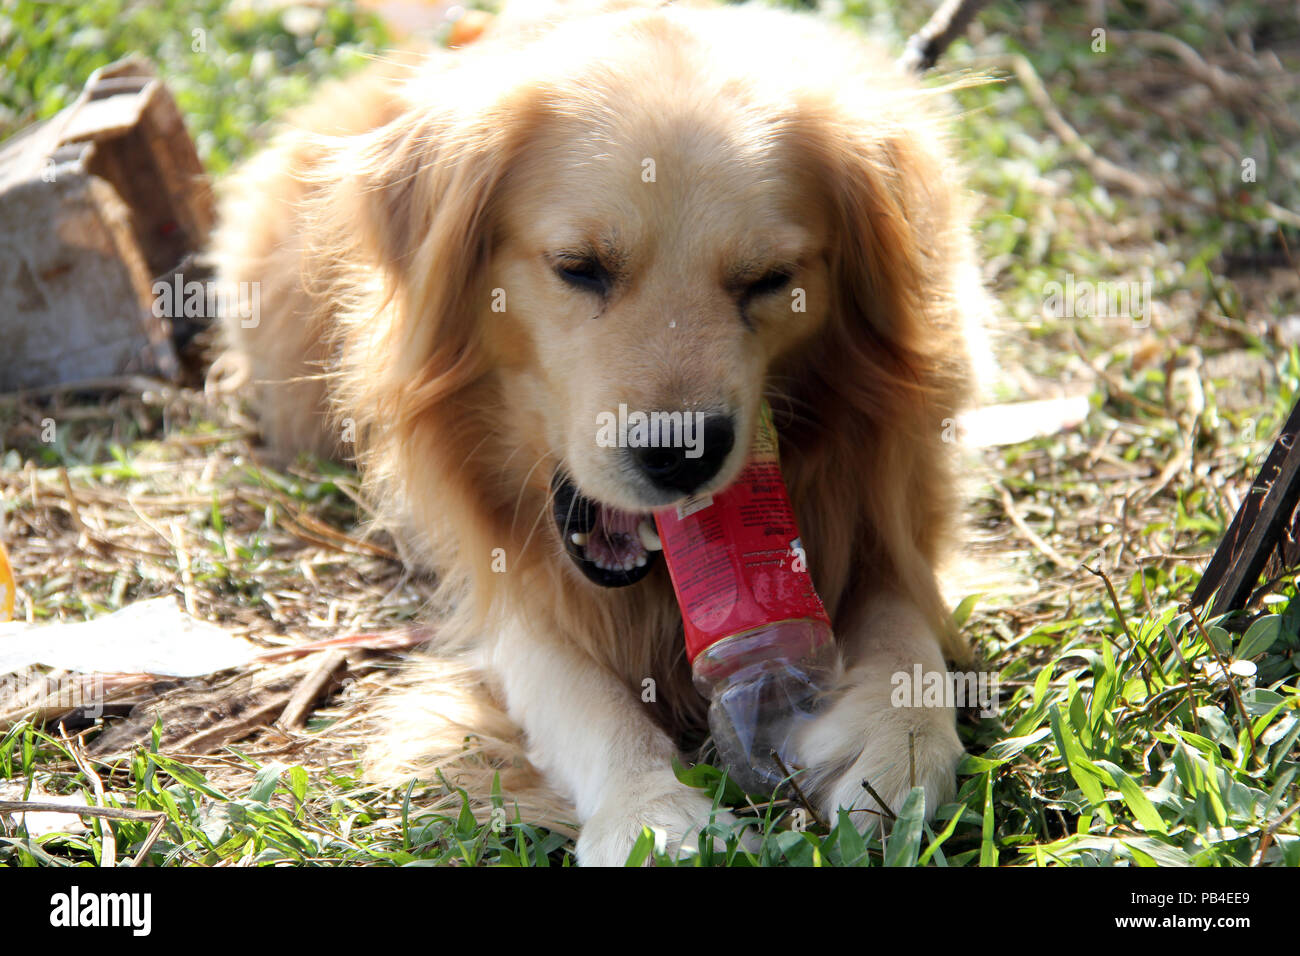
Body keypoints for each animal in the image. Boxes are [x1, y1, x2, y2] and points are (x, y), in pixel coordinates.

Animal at [208, 0, 987, 868]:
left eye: (769, 280)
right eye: (579, 267)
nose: (681, 455)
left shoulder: (893, 500)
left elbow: (905, 626)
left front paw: (897, 741)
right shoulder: (504, 585)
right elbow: (576, 692)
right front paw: (651, 809)